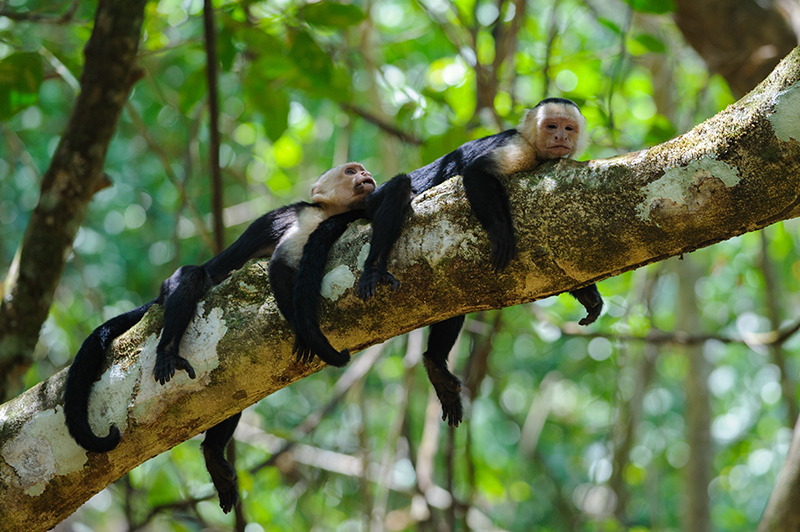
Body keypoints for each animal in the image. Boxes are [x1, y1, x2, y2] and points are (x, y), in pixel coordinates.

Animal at [62, 161, 376, 512]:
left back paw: (213, 454)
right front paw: (302, 329)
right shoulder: (308, 220)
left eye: (362, 170)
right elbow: (279, 266)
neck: (328, 211)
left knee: (237, 389)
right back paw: (167, 350)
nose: (366, 175)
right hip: (170, 289)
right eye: (351, 172)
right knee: (191, 277)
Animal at [294, 98, 608, 428]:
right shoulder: (521, 148)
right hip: (373, 202)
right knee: (400, 187)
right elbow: (476, 173)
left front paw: (588, 295)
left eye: (569, 128)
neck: (537, 151)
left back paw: (436, 366)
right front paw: (501, 233)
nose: (560, 137)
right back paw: (374, 267)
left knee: (457, 299)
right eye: (551, 126)